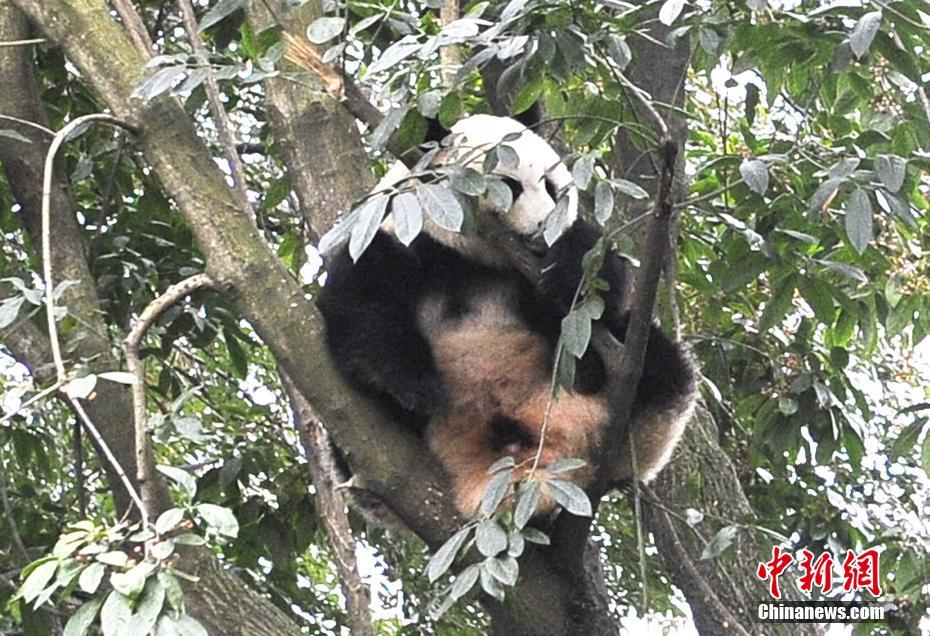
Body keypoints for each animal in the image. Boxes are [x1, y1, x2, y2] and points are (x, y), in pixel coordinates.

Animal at [317, 114, 695, 517]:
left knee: (662, 370)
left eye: (551, 186)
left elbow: (599, 296)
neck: (472, 259)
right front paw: (415, 387)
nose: (545, 228)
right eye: (510, 186)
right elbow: (359, 309)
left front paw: (569, 272)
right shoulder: (390, 239)